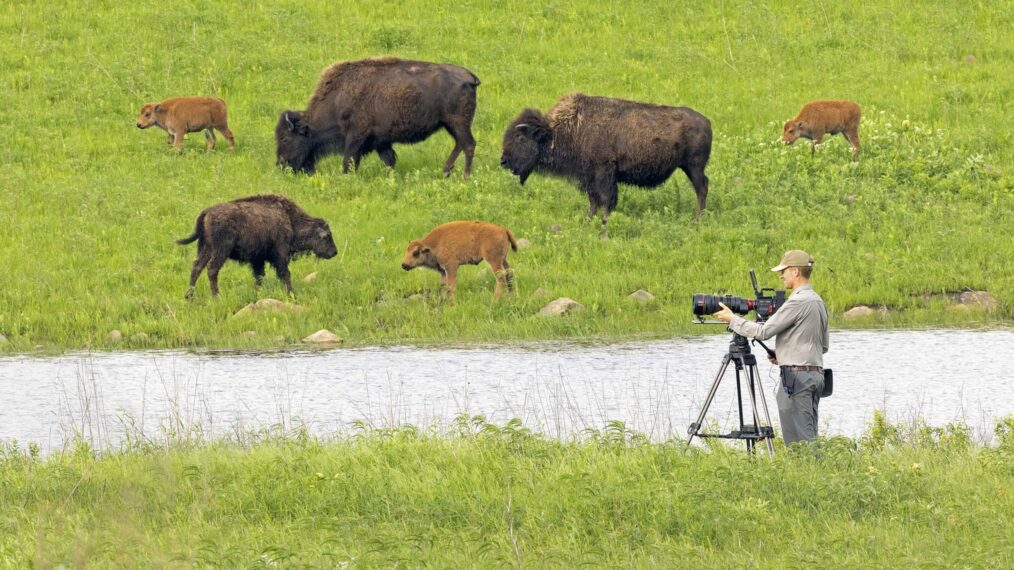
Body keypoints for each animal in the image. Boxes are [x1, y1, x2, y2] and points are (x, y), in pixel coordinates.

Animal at [179, 193, 340, 300]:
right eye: (326, 236)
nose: (334, 252)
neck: (290, 220)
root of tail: (207, 212)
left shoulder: (258, 259)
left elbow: (259, 276)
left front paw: (258, 293)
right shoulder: (281, 255)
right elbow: (285, 274)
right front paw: (291, 294)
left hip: (205, 248)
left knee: (196, 267)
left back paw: (189, 296)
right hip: (221, 250)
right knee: (212, 269)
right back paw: (216, 296)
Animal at [275, 56, 480, 175]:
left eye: (285, 139)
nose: (281, 165)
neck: (337, 99)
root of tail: (469, 77)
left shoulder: (355, 136)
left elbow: (348, 160)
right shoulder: (381, 141)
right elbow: (389, 160)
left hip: (457, 122)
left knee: (468, 144)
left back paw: (465, 176)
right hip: (450, 124)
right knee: (460, 144)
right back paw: (446, 171)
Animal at [500, 93, 713, 224]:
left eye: (520, 137)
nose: (503, 161)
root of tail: (707, 122)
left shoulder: (604, 172)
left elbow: (605, 199)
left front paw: (603, 222)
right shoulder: (588, 177)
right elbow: (593, 200)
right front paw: (588, 220)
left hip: (694, 167)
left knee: (701, 188)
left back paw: (697, 219)